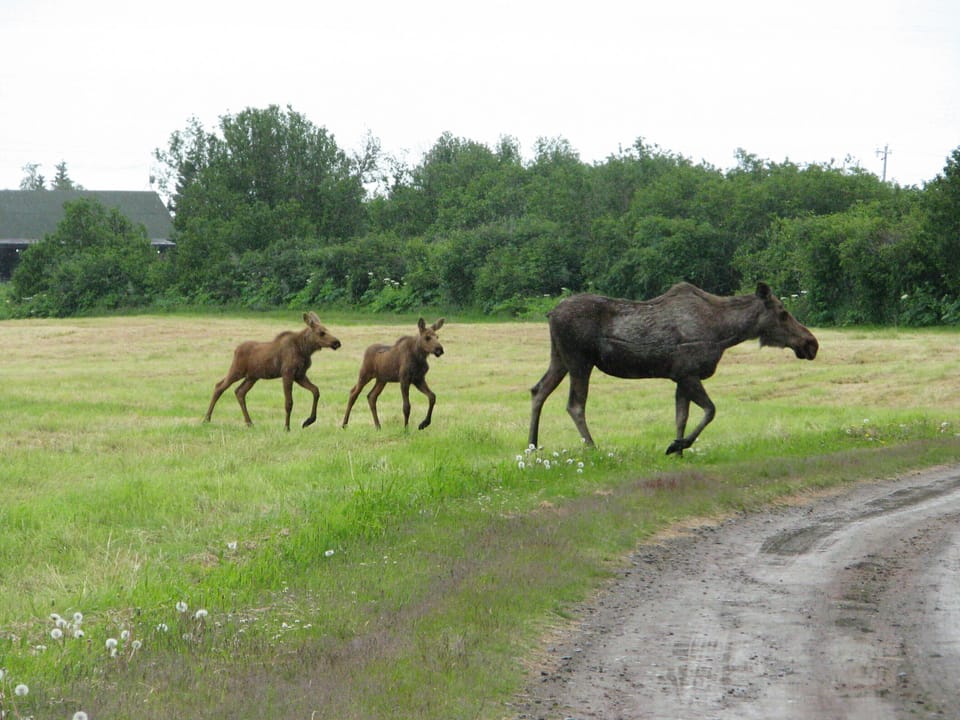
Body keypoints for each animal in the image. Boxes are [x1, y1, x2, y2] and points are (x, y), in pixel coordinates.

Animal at [204, 312, 341, 430]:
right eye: (321, 332)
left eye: (327, 330)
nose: (337, 342)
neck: (306, 349)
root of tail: (236, 350)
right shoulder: (287, 373)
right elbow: (289, 402)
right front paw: (286, 427)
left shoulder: (300, 375)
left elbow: (316, 391)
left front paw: (308, 421)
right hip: (237, 370)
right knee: (219, 386)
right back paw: (206, 419)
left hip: (252, 377)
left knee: (239, 391)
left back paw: (249, 423)